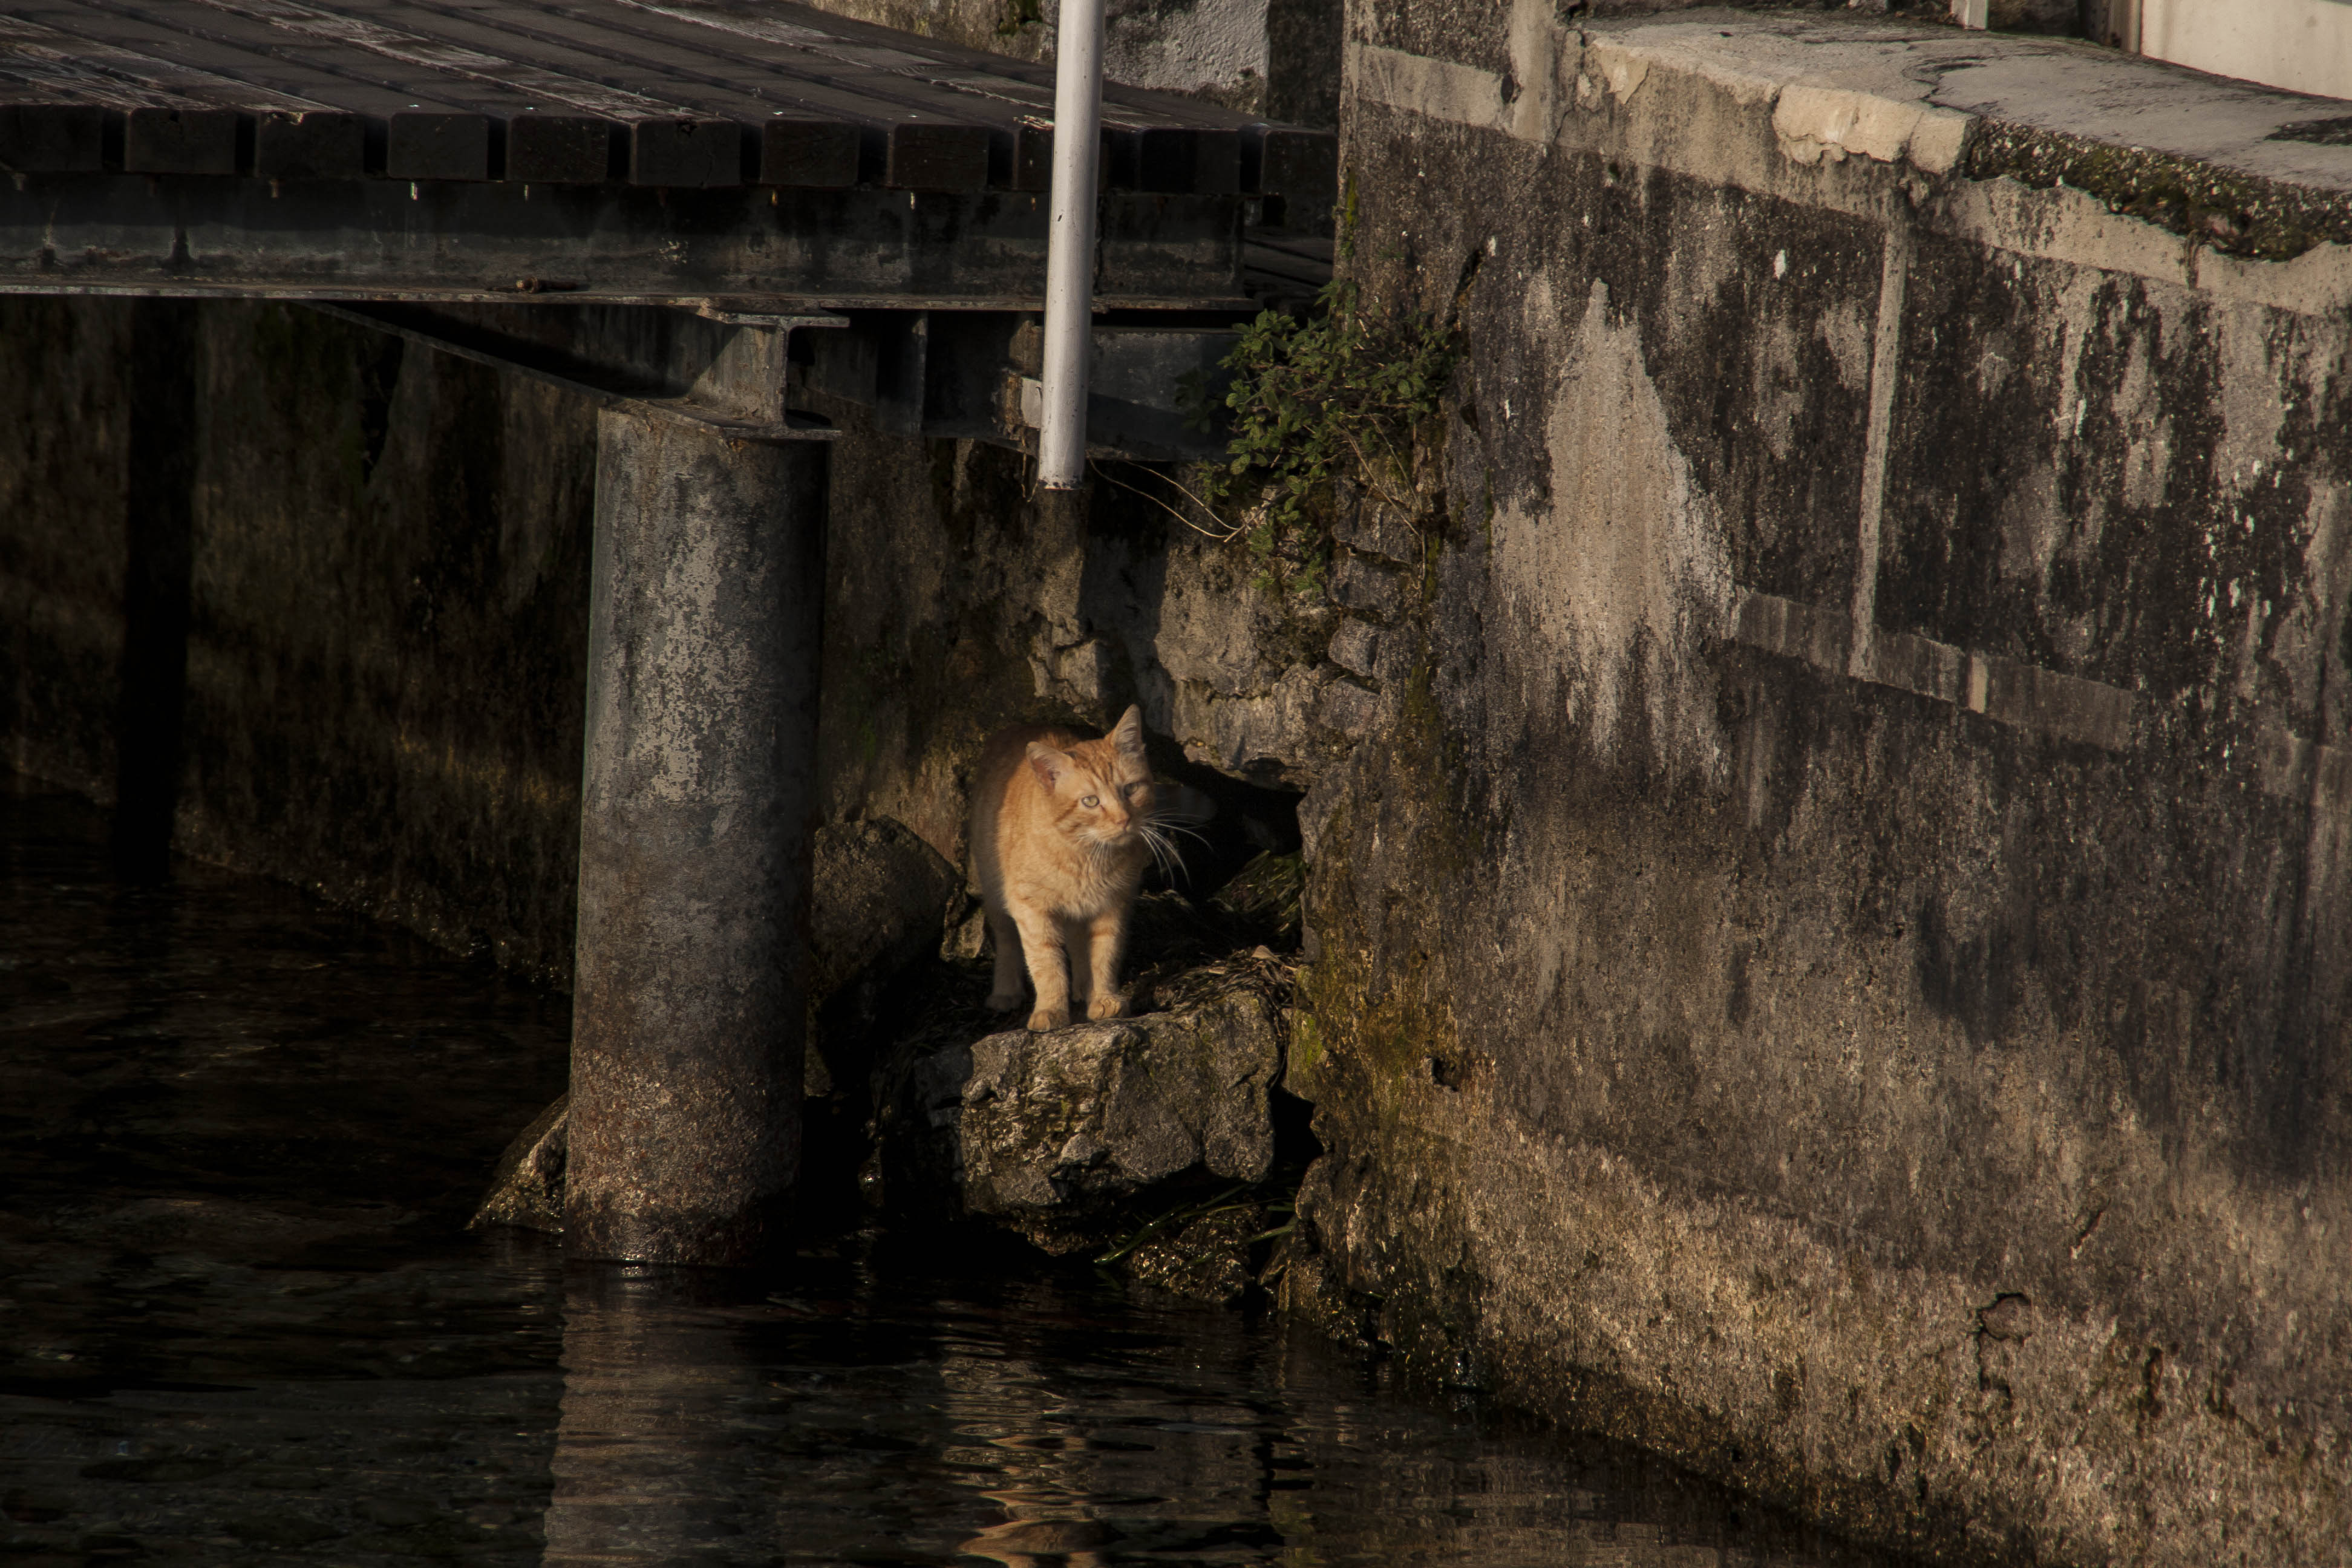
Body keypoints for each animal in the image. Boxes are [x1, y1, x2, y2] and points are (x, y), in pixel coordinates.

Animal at [969, 710, 1204, 1030]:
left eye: (1130, 789)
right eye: (1091, 801)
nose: (1123, 820)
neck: (1086, 856)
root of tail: (1016, 727)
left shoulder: (1112, 906)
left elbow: (1103, 954)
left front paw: (1103, 998)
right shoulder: (1031, 909)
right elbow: (1046, 963)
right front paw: (1051, 1009)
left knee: (1078, 943)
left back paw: (1083, 987)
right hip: (995, 895)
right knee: (1006, 941)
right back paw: (1006, 992)